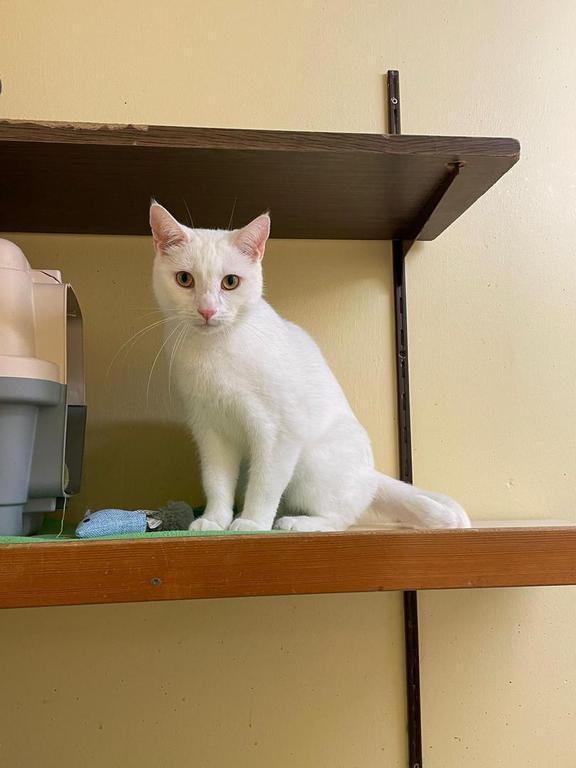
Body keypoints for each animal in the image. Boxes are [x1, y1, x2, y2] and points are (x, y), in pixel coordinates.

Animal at [150, 202, 470, 532]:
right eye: (184, 279)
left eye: (230, 282)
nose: (207, 310)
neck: (213, 350)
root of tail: (370, 474)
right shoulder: (211, 431)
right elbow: (216, 481)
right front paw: (214, 519)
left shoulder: (279, 431)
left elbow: (265, 484)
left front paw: (252, 522)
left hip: (311, 465)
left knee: (341, 517)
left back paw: (296, 522)